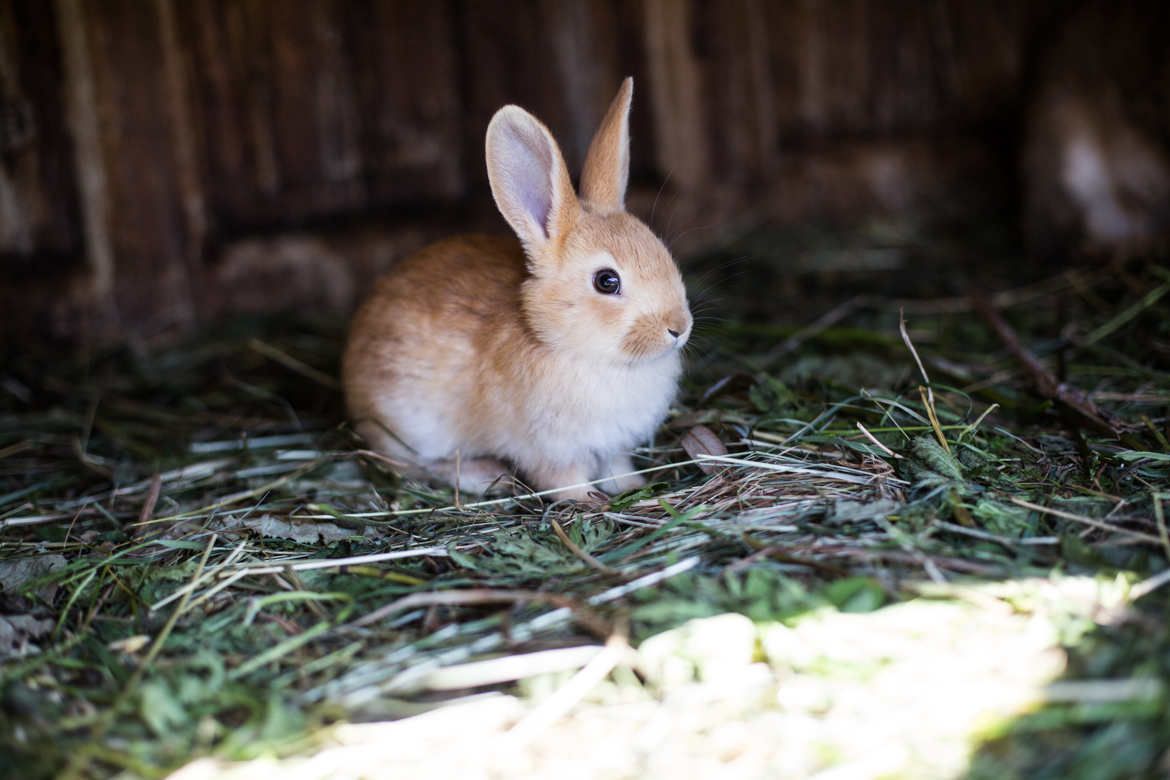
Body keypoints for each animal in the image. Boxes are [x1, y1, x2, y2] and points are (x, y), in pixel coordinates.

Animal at [343, 77, 692, 500]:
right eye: (606, 281)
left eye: (662, 252)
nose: (679, 328)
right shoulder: (549, 451)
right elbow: (564, 481)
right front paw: (588, 501)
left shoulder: (613, 446)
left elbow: (616, 467)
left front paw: (631, 485)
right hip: (408, 429)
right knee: (413, 467)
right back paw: (482, 475)